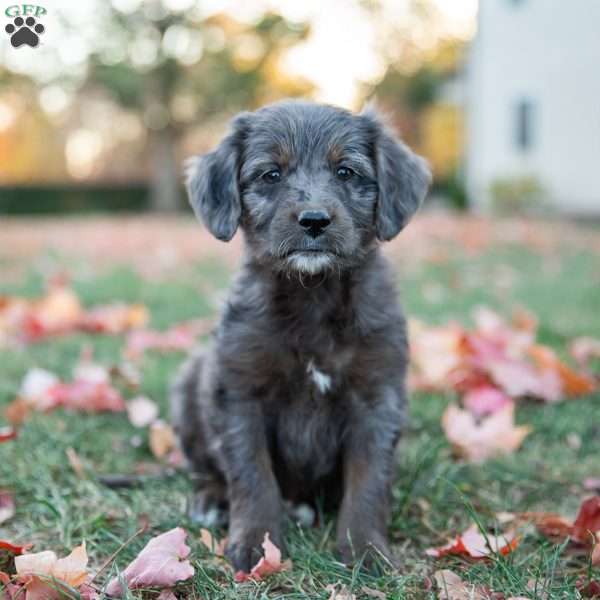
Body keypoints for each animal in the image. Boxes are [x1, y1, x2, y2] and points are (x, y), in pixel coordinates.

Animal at [171, 99, 428, 572]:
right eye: (271, 174)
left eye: (346, 172)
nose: (314, 221)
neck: (313, 293)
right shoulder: (240, 391)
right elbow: (251, 474)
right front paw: (257, 544)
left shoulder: (376, 395)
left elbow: (369, 479)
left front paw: (365, 549)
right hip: (188, 383)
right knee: (206, 466)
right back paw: (212, 498)